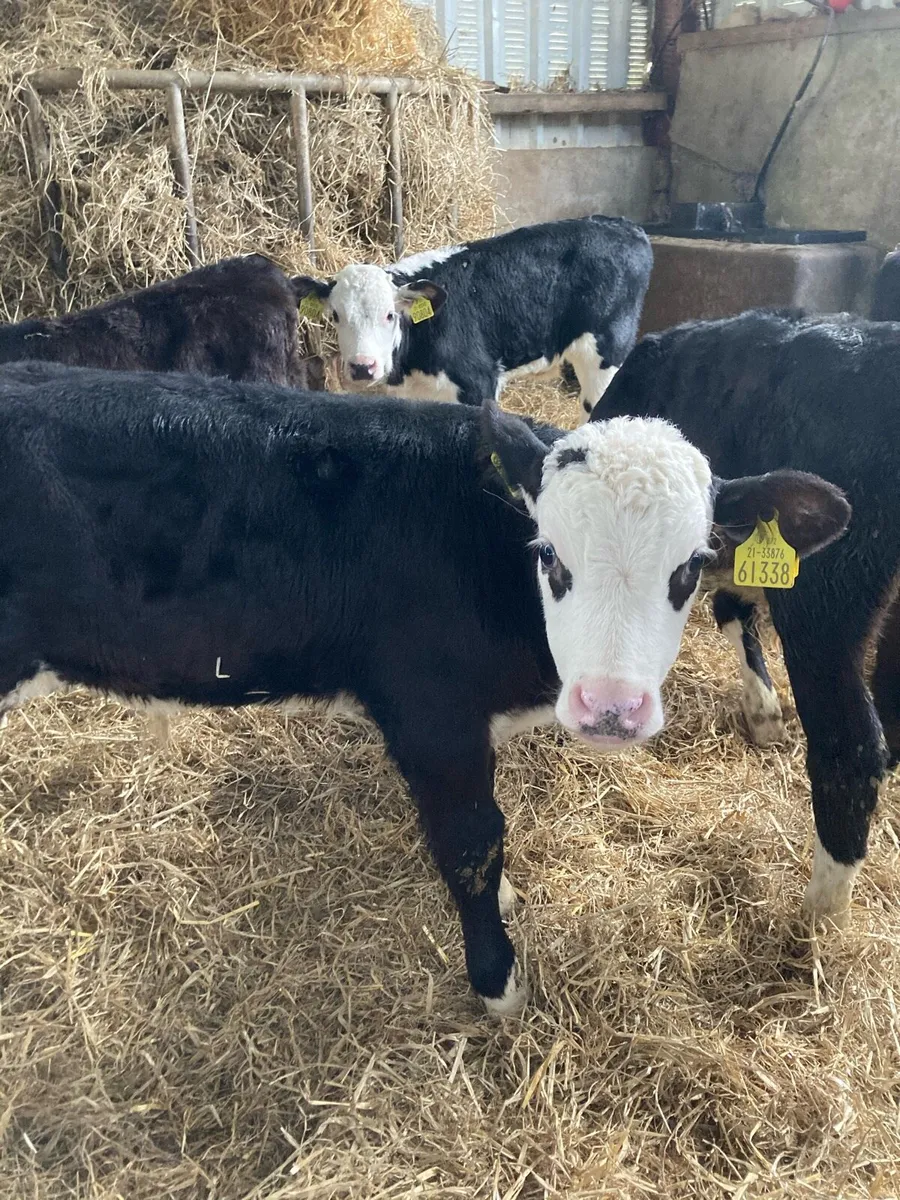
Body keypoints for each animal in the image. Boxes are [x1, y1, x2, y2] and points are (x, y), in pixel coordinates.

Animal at [0, 361, 848, 1013]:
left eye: (693, 565)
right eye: (548, 554)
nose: (611, 706)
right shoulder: (430, 714)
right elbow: (472, 842)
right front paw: (500, 984)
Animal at [293, 216, 653, 420]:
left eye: (390, 315)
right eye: (336, 316)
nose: (362, 367)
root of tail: (624, 225)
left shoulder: (478, 383)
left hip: (606, 352)